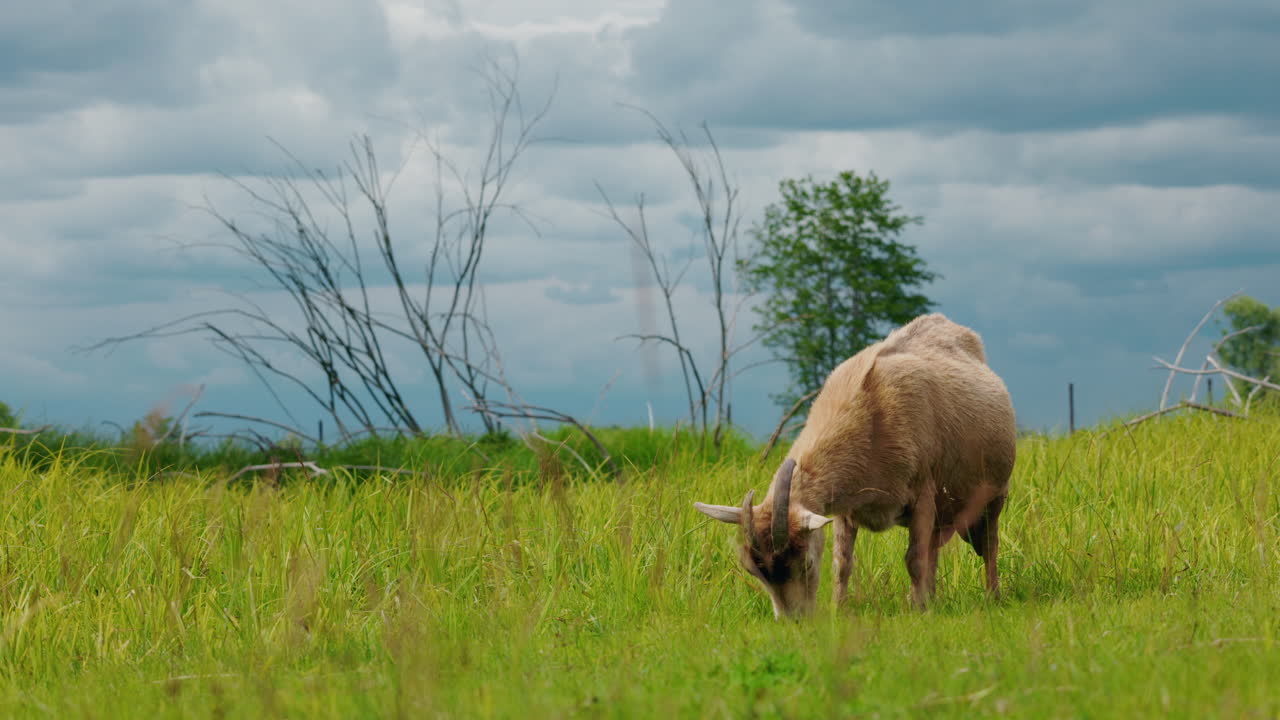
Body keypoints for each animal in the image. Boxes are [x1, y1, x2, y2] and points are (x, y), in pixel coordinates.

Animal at [695, 313, 1016, 617]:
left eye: (806, 564)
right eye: (753, 570)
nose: (795, 620)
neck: (872, 411)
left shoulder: (923, 493)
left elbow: (914, 558)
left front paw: (918, 610)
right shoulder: (845, 508)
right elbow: (842, 563)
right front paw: (840, 608)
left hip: (993, 496)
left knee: (989, 545)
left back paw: (992, 597)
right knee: (935, 548)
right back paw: (934, 597)